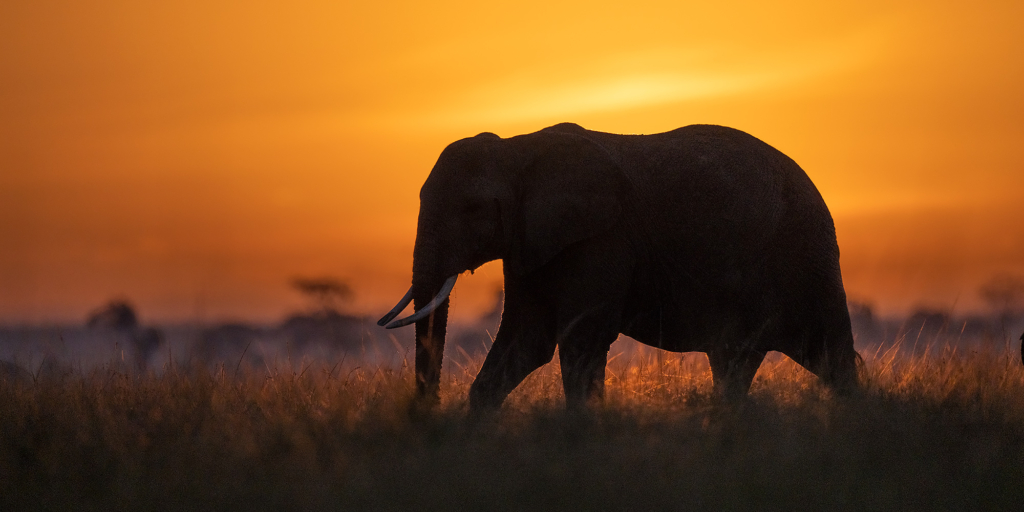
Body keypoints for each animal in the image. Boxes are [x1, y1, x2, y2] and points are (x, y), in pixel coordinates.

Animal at [380, 121, 860, 409]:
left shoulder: (602, 240)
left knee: (830, 354)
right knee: (737, 363)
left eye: (473, 208)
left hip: (804, 256)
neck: (517, 150)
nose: (427, 420)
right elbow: (526, 341)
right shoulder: (530, 243)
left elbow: (580, 341)